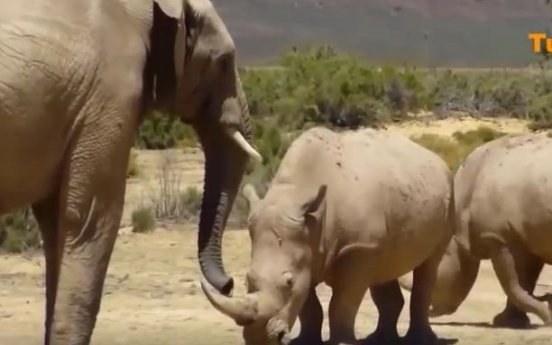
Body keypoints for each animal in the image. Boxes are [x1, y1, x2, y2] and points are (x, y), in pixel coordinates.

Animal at [198, 127, 452, 344]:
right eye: (247, 280)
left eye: (288, 282)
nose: (258, 339)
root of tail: (436, 158)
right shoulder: (307, 248)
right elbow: (309, 305)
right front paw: (305, 342)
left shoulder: (357, 248)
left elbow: (342, 302)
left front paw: (341, 343)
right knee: (386, 265)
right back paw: (380, 340)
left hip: (448, 192)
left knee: (429, 266)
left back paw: (419, 340)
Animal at [398, 131, 552, 328]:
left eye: (436, 278)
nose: (430, 311)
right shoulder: (527, 237)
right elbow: (525, 281)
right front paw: (521, 320)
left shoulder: (498, 236)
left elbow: (512, 282)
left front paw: (511, 321)